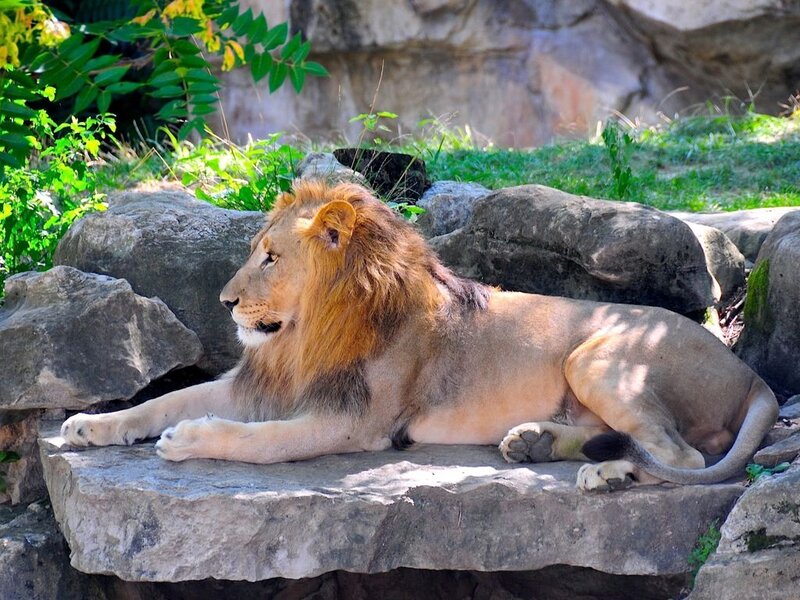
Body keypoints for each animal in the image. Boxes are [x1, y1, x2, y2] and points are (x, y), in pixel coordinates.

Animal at [61, 180, 779, 491]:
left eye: (269, 257)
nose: (225, 302)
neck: (305, 332)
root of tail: (755, 377)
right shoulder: (264, 383)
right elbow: (162, 399)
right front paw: (90, 426)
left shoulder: (354, 421)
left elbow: (258, 443)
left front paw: (189, 441)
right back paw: (535, 442)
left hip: (599, 357)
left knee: (684, 458)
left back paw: (607, 475)